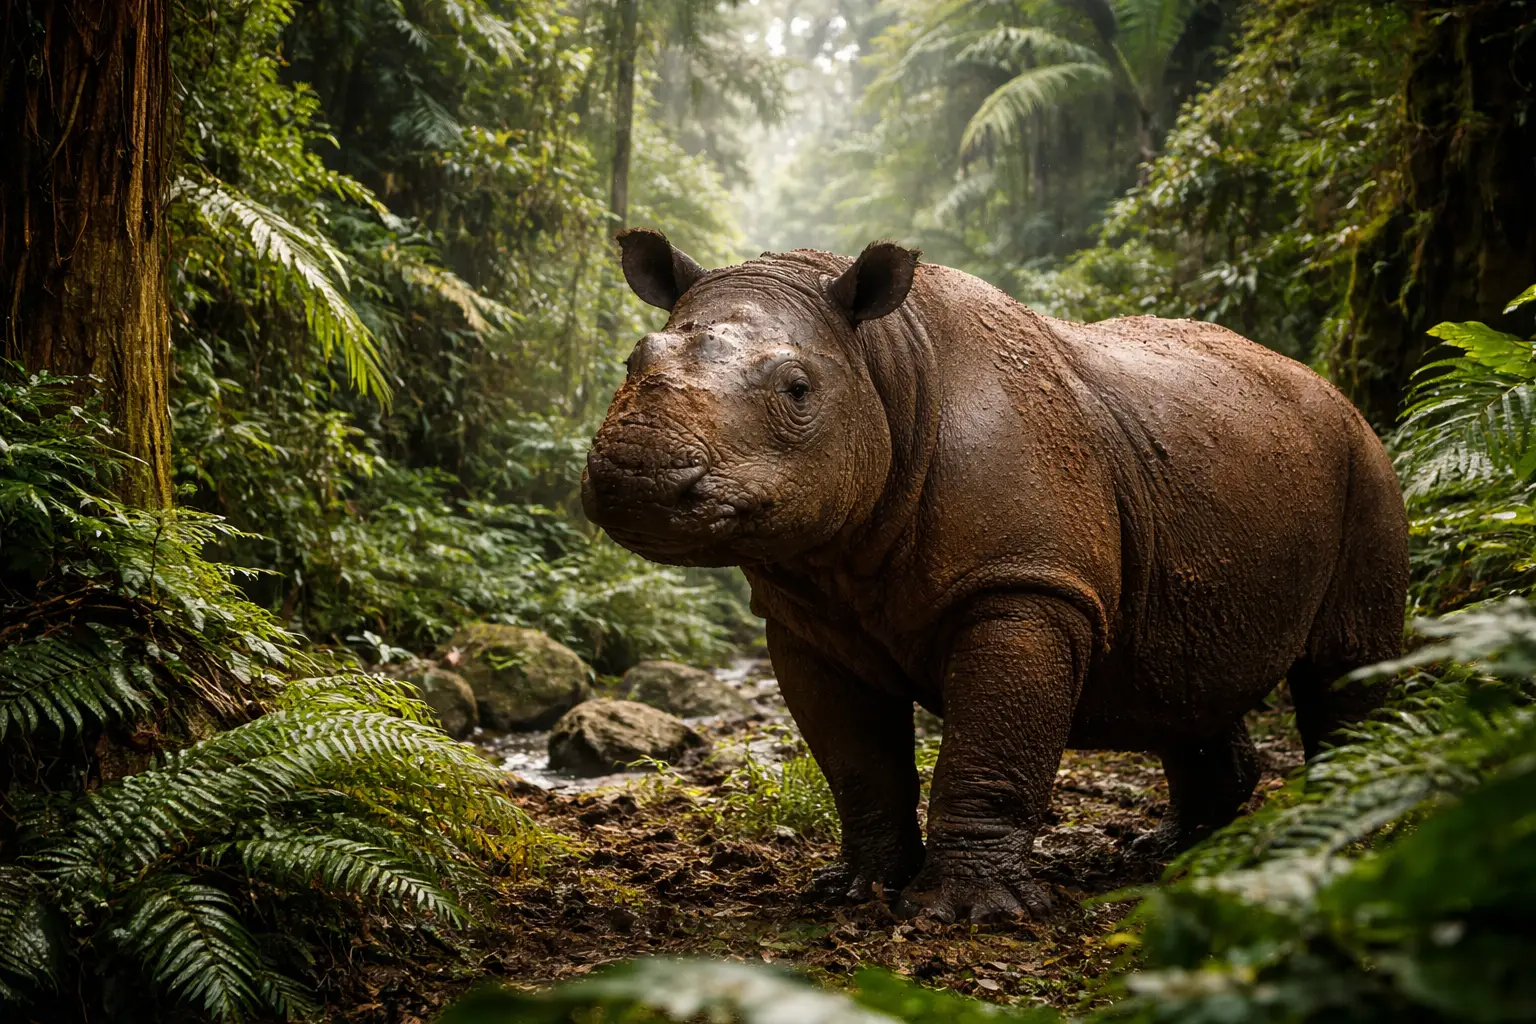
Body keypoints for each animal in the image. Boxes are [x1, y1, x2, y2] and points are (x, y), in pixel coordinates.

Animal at [582, 229, 1409, 922]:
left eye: (797, 389)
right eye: (630, 363)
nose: (636, 477)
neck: (881, 364)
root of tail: (1331, 388)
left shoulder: (1025, 585)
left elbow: (993, 744)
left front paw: (965, 912)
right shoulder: (804, 616)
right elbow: (857, 763)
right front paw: (857, 890)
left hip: (1364, 463)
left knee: (1345, 664)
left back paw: (1350, 828)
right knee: (1185, 677)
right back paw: (1174, 850)